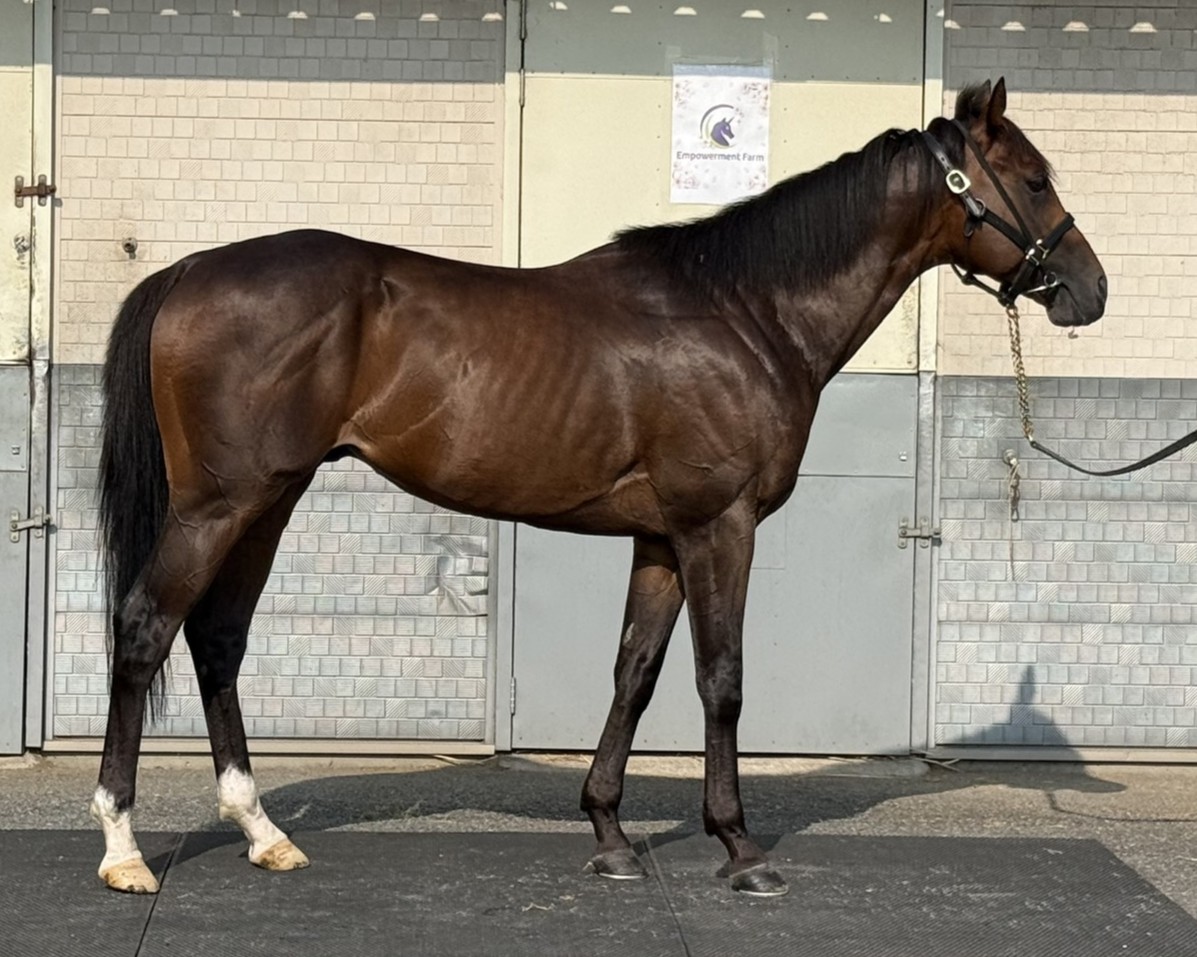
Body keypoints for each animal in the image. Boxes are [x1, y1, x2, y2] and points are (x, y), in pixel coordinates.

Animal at [91, 78, 1106, 898]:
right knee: (144, 628)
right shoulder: (719, 526)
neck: (745, 312)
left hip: (270, 498)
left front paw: (610, 832)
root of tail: (190, 269)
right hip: (217, 505)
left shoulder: (660, 537)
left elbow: (634, 671)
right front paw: (739, 848)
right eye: (1034, 178)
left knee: (218, 639)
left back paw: (262, 832)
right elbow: (720, 678)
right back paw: (123, 848)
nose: (1088, 290)